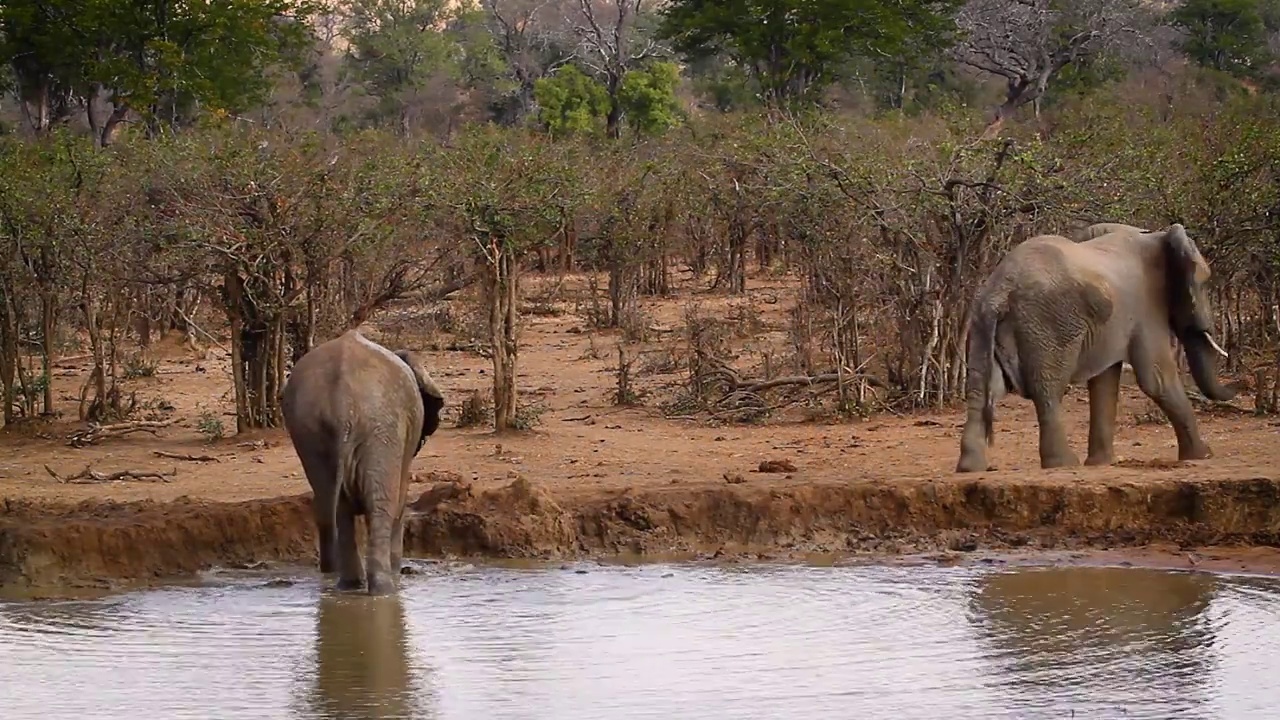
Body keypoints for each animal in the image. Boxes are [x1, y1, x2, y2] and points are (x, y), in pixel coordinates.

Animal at [281, 327, 445, 591]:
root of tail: (341, 403)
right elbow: (400, 501)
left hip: (310, 432)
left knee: (333, 507)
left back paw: (349, 585)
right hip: (381, 430)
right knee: (382, 508)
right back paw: (383, 588)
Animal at [957, 221, 1233, 474]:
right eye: (1204, 285)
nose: (1233, 389)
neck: (1157, 236)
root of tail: (1000, 290)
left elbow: (1104, 381)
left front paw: (1101, 463)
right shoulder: (1146, 307)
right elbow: (1157, 378)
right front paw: (1203, 455)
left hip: (981, 321)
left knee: (982, 388)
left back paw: (971, 468)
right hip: (1046, 325)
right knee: (1048, 390)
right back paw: (1063, 464)